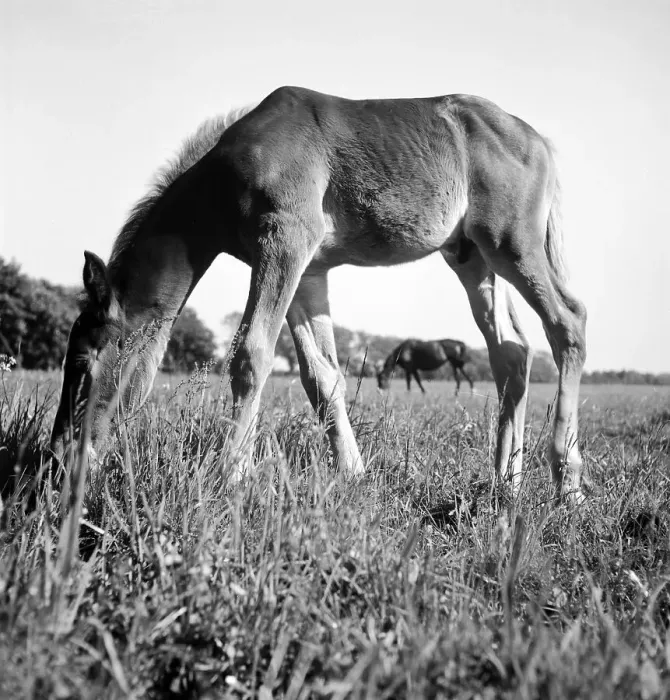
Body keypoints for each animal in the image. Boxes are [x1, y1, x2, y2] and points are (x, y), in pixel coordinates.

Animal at [50, 86, 587, 502]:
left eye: (81, 363)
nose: (57, 459)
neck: (224, 177)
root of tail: (537, 140)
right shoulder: (309, 272)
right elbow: (320, 377)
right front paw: (352, 473)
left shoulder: (285, 240)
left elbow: (251, 354)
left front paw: (231, 475)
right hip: (472, 257)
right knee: (512, 352)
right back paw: (505, 482)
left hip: (512, 244)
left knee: (568, 322)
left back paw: (567, 480)